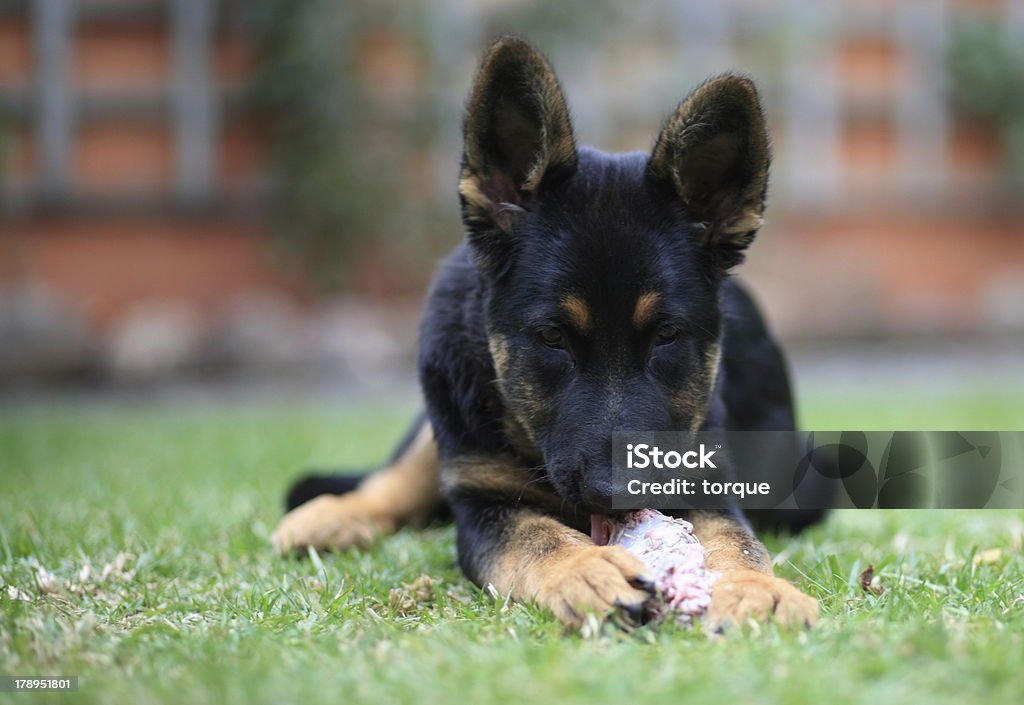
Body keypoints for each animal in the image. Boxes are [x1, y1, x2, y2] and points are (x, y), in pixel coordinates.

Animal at [268, 35, 819, 631]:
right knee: (401, 474)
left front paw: (757, 588)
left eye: (667, 335)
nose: (616, 493)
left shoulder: (706, 480)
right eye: (553, 336)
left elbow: (737, 540)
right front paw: (585, 569)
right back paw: (330, 516)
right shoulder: (482, 503)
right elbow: (534, 535)